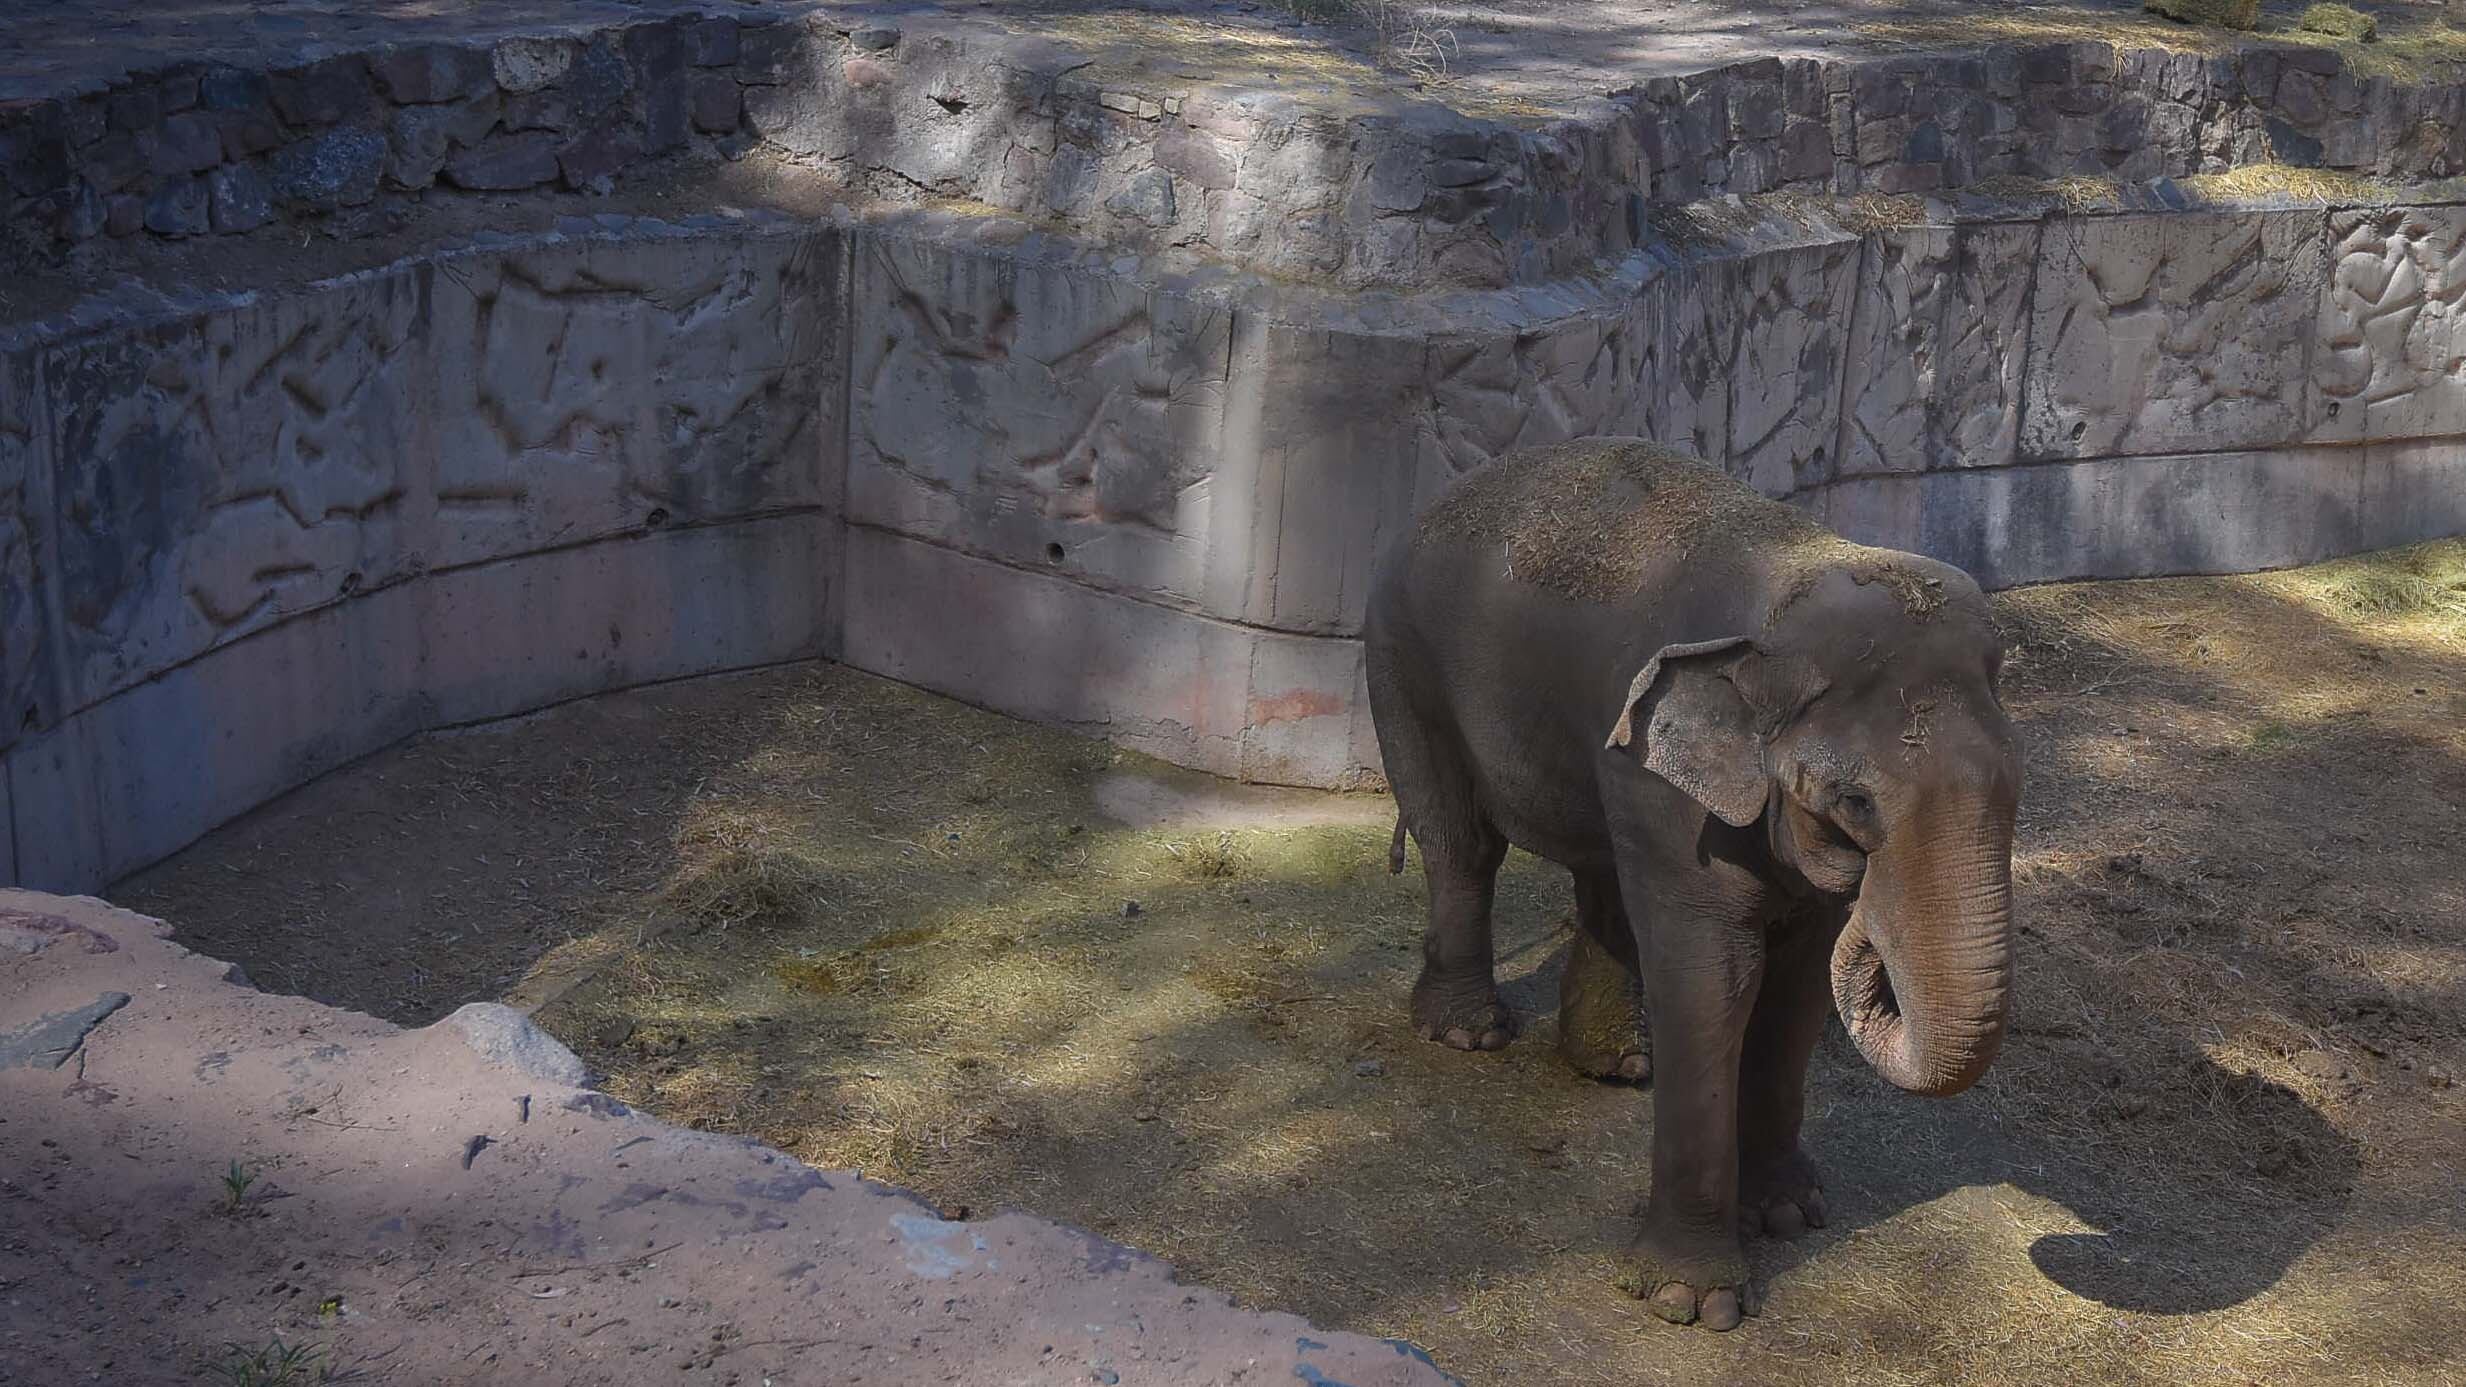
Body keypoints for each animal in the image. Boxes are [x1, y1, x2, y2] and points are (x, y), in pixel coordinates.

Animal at [1371, 439, 2022, 1332]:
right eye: (1855, 801)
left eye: (2016, 785)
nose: (1866, 908)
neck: (1786, 590)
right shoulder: (1673, 799)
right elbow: (1715, 975)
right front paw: (1692, 1301)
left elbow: (1797, 985)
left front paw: (1789, 1215)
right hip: (1405, 659)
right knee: (1462, 842)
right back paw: (1469, 1034)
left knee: (1601, 871)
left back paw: (1618, 1062)